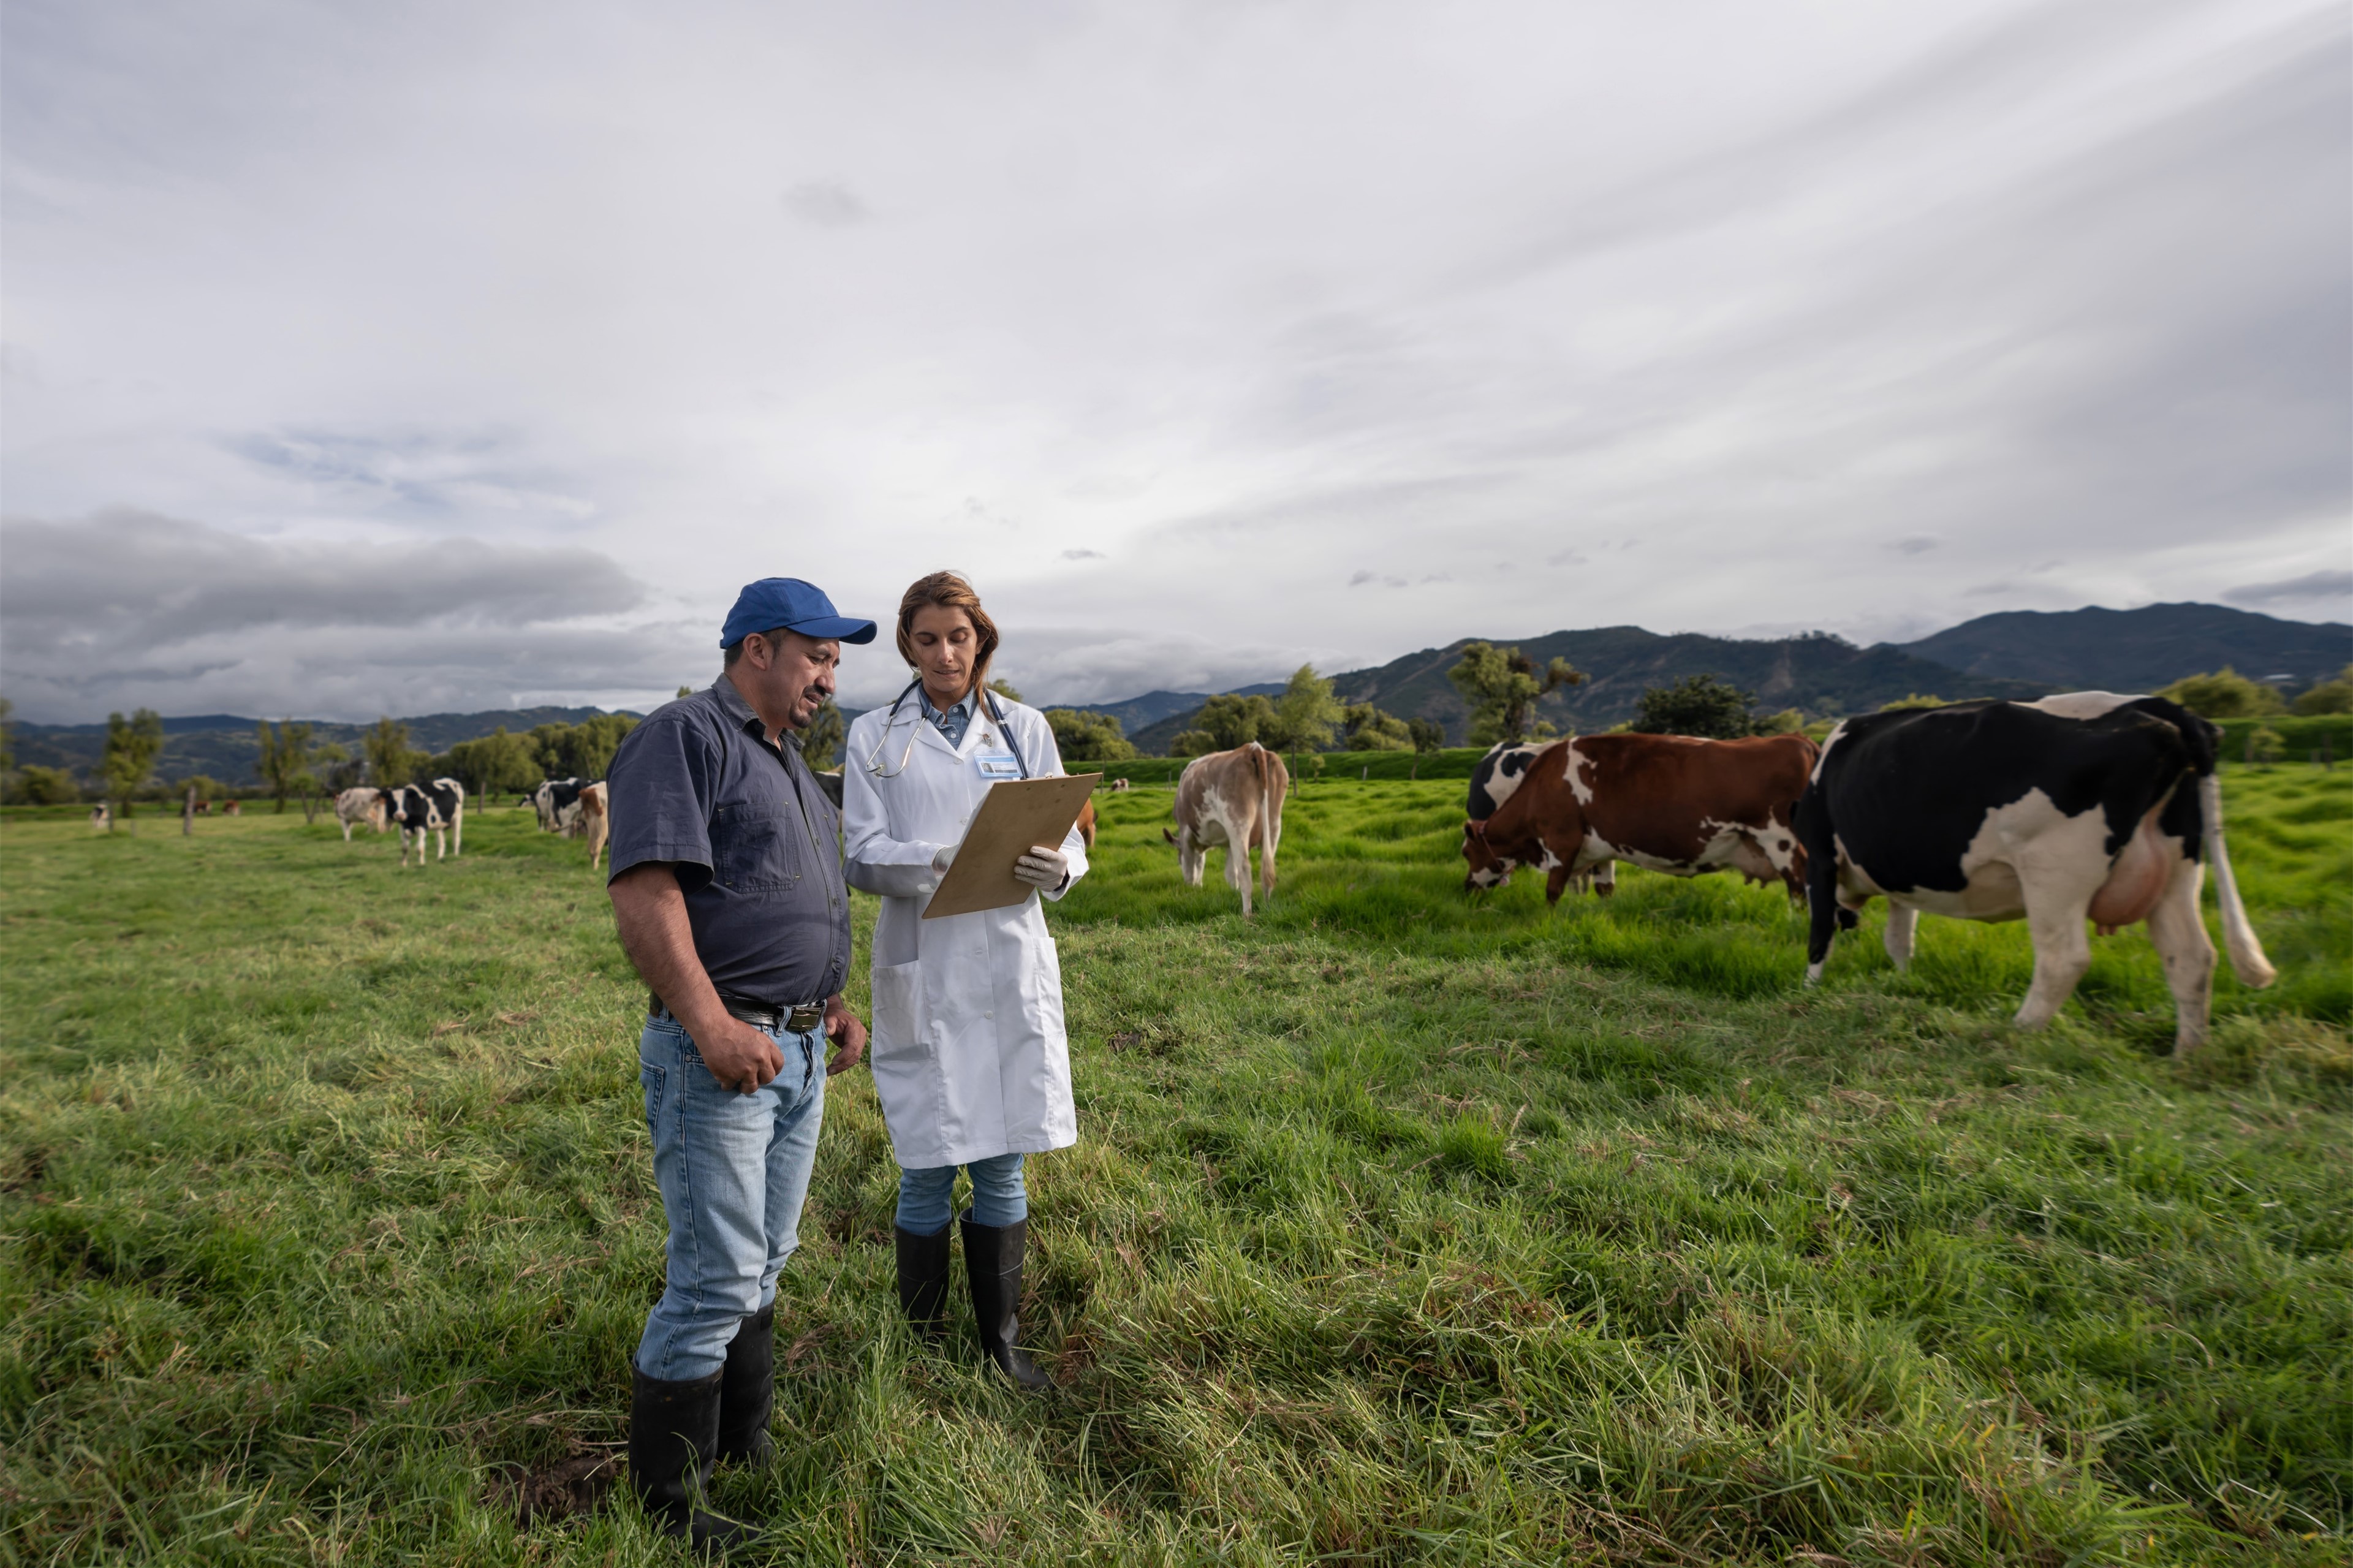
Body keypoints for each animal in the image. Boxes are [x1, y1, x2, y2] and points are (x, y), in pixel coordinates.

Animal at [385, 776, 468, 866]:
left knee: (456, 839)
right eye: (393, 802)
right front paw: (404, 865)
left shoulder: (422, 825)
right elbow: (404, 848)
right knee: (441, 842)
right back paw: (440, 859)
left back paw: (455, 856)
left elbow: (420, 848)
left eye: (406, 801)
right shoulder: (402, 827)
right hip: (439, 825)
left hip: (457, 817)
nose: (400, 815)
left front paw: (421, 864)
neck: (410, 823)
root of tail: (449, 779)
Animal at [1167, 739, 1298, 909]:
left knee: (1245, 872)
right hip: (1274, 824)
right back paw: (1267, 907)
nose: (1198, 887)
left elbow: (1190, 871)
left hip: (1237, 824)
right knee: (1266, 870)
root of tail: (1252, 748)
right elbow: (1228, 873)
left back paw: (1247, 913)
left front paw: (1191, 890)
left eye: (1178, 860)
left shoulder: (1185, 831)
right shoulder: (1228, 843)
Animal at [1468, 734, 1816, 904]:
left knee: (1800, 888)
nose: (1466, 887)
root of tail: (1797, 741)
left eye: (1466, 852)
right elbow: (1604, 888)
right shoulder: (1599, 847)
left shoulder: (1561, 841)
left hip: (1780, 840)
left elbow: (1553, 892)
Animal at [1788, 687, 2268, 1045]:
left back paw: (2017, 1031)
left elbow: (1819, 934)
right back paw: (2189, 1055)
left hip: (2054, 872)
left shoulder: (1820, 859)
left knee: (2064, 960)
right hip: (2177, 868)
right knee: (2191, 958)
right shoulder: (1898, 877)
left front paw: (1807, 993)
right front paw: (1904, 985)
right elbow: (1899, 940)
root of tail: (2162, 707)